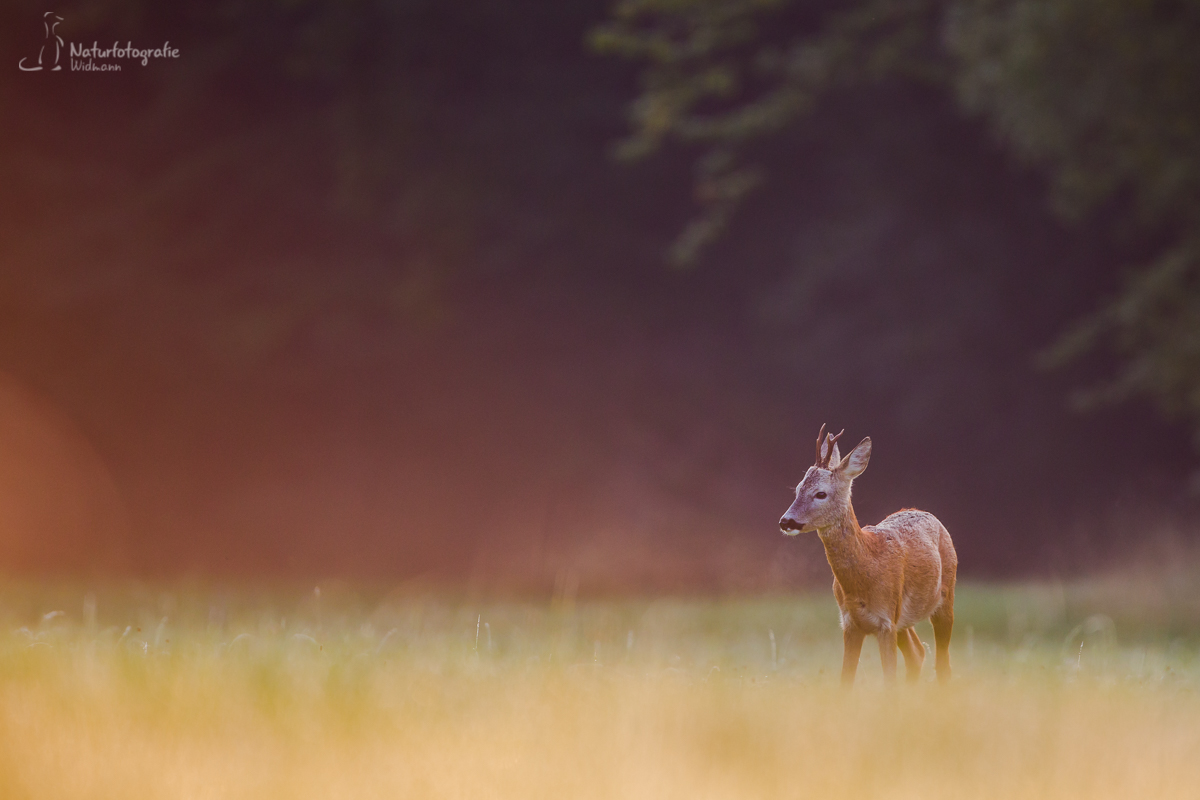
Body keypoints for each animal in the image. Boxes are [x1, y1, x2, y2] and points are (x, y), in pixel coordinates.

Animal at [777, 424, 955, 690]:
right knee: (918, 653)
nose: (786, 521)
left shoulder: (885, 621)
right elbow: (845, 681)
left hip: (945, 597)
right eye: (798, 489)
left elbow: (889, 682)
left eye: (821, 493)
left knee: (943, 664)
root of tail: (924, 512)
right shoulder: (850, 624)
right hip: (903, 621)